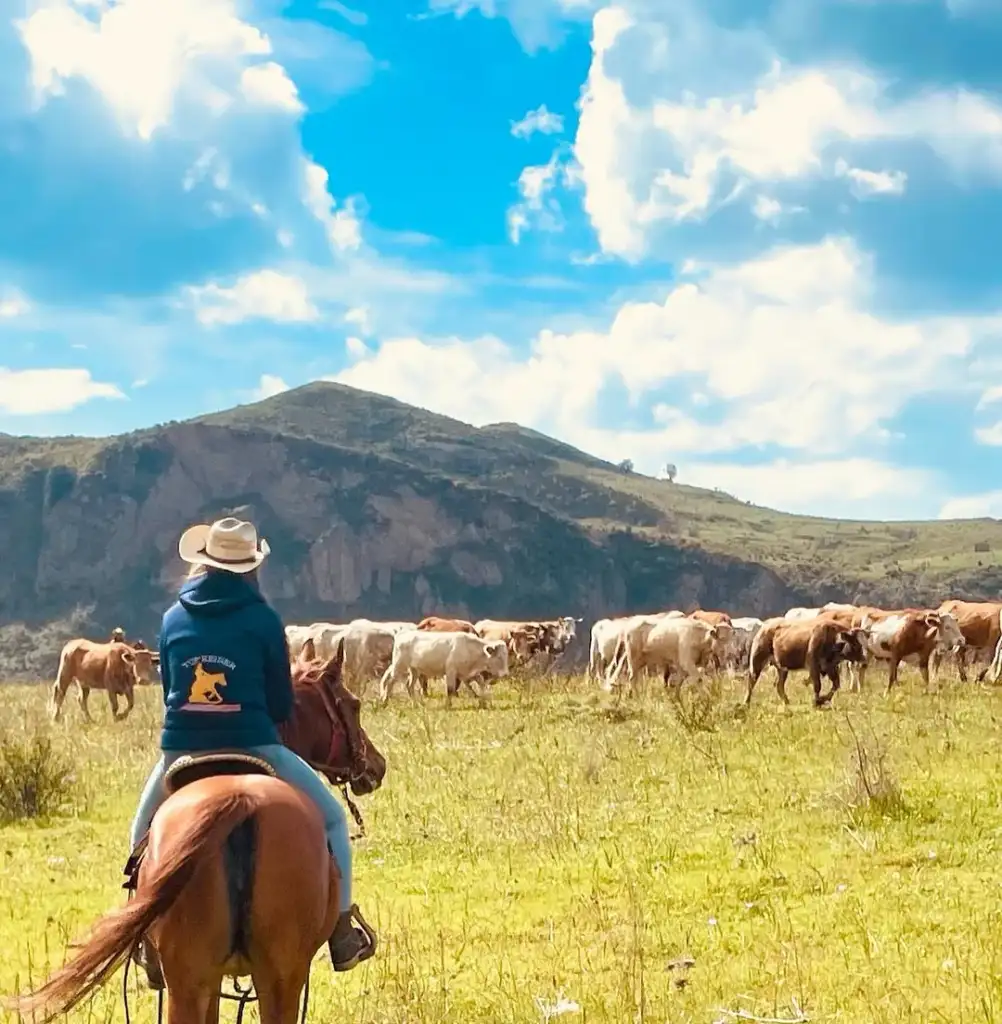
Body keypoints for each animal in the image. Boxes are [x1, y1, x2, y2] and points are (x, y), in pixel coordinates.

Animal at [382, 630, 513, 704]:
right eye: (499, 657)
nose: (506, 673)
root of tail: (402, 634)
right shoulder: (451, 671)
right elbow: (450, 689)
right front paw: (448, 705)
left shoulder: (466, 673)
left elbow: (480, 683)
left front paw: (483, 701)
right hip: (399, 666)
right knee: (390, 681)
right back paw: (384, 701)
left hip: (414, 670)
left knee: (409, 686)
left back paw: (416, 704)